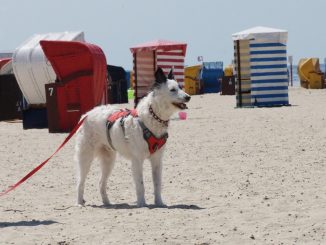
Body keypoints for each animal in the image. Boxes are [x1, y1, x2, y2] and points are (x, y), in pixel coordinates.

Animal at [74, 67, 191, 207]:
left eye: (180, 87)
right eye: (173, 90)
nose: (188, 97)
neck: (153, 116)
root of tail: (85, 115)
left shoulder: (157, 160)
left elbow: (157, 184)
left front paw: (159, 203)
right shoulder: (137, 160)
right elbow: (141, 185)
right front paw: (142, 204)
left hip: (109, 160)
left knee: (101, 183)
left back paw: (107, 203)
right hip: (86, 157)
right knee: (80, 182)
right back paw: (79, 202)